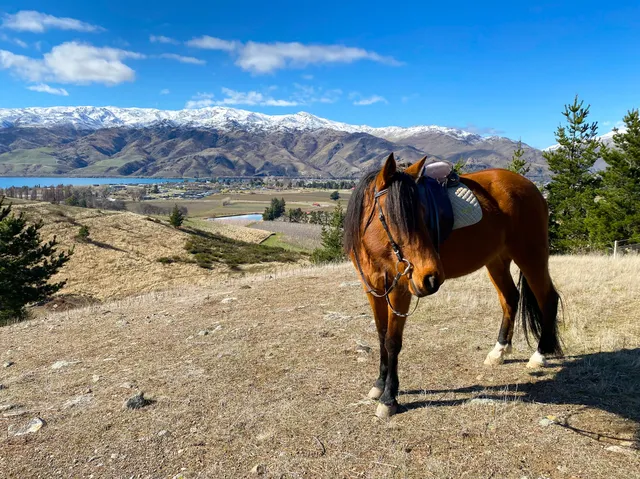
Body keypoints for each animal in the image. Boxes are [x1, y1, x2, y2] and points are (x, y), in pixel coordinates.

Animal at [343, 153, 563, 418]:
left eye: (424, 213)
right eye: (392, 218)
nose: (430, 277)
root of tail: (532, 187)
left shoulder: (400, 289)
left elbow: (392, 342)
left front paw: (389, 398)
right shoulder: (373, 288)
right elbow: (381, 336)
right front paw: (379, 384)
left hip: (531, 256)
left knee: (548, 298)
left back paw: (539, 356)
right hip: (497, 260)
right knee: (510, 298)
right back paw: (498, 351)